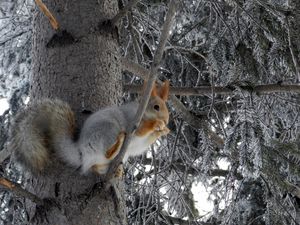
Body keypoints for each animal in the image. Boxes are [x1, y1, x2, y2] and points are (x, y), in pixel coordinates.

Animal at [9, 81, 170, 174]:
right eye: (156, 107)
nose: (167, 120)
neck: (142, 112)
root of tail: (82, 153)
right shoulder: (132, 120)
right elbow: (141, 129)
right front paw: (156, 125)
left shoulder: (141, 143)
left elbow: (142, 144)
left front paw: (163, 131)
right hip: (107, 131)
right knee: (107, 152)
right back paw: (117, 144)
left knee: (98, 166)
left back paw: (115, 170)